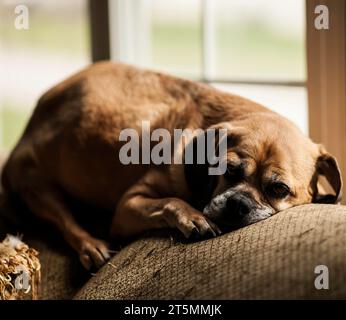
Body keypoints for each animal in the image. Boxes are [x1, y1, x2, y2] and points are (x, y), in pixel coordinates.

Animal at [1, 62, 342, 270]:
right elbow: (170, 201)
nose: (237, 204)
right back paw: (90, 245)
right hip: (38, 188)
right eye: (229, 170)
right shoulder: (129, 205)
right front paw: (192, 216)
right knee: (67, 224)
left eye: (279, 189)